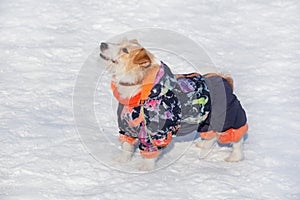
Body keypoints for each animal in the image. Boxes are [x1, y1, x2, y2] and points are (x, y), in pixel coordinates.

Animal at [99, 38, 247, 170]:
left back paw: (235, 157)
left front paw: (146, 168)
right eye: (118, 43)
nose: (102, 44)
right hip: (207, 120)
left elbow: (149, 151)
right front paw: (122, 160)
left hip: (229, 117)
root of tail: (224, 79)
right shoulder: (127, 125)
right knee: (211, 136)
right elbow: (126, 146)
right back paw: (203, 146)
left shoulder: (156, 132)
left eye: (125, 50)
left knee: (237, 138)